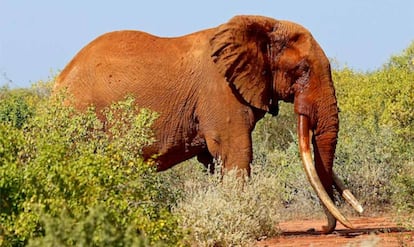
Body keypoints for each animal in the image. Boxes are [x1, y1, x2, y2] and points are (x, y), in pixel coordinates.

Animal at [54, 14, 362, 232]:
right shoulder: (220, 91)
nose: (320, 228)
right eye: (303, 69)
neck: (262, 25)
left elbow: (215, 161)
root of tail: (59, 82)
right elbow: (236, 152)